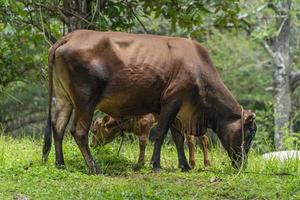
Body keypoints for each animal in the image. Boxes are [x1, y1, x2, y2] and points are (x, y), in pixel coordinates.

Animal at [42, 30, 256, 173]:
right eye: (249, 133)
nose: (243, 164)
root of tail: (72, 36)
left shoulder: (176, 109)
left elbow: (178, 138)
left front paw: (185, 166)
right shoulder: (172, 101)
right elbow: (161, 133)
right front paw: (155, 165)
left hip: (63, 97)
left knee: (58, 126)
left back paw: (60, 164)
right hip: (86, 100)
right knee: (78, 132)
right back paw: (94, 167)